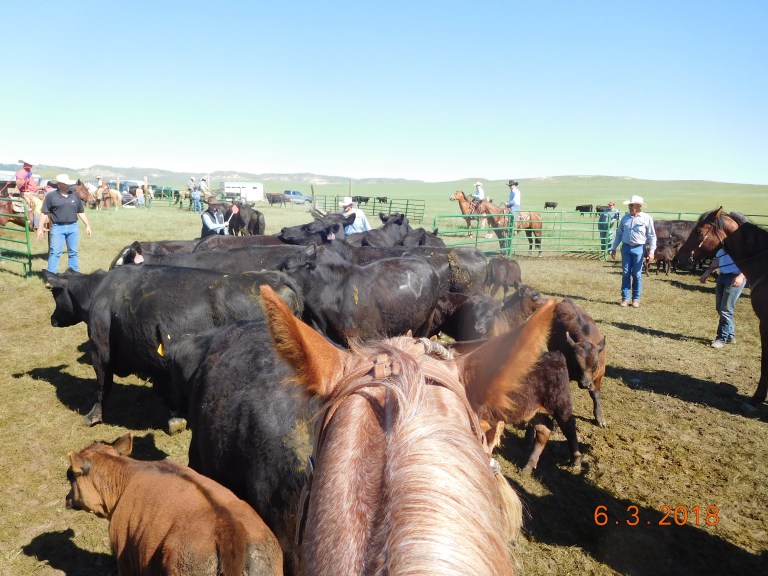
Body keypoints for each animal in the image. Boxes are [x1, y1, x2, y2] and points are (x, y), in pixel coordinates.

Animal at [42, 266, 303, 428]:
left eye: (55, 294)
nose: (52, 319)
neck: (99, 290)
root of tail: (275, 277)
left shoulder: (100, 349)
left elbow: (102, 386)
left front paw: (93, 415)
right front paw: (176, 414)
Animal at [548, 298, 607, 428]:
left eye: (595, 365)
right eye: (576, 364)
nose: (585, 384)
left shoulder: (600, 373)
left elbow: (596, 394)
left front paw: (600, 417)